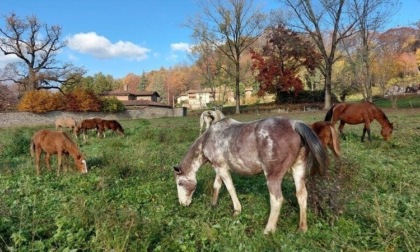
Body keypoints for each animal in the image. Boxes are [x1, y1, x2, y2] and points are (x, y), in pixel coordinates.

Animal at [174, 116, 328, 234]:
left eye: (180, 183)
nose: (182, 204)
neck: (209, 138)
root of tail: (294, 124)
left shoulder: (222, 168)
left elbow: (230, 188)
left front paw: (237, 211)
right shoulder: (219, 167)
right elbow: (217, 185)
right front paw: (213, 204)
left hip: (273, 176)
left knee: (277, 200)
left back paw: (268, 230)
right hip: (298, 169)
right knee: (301, 195)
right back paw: (302, 228)